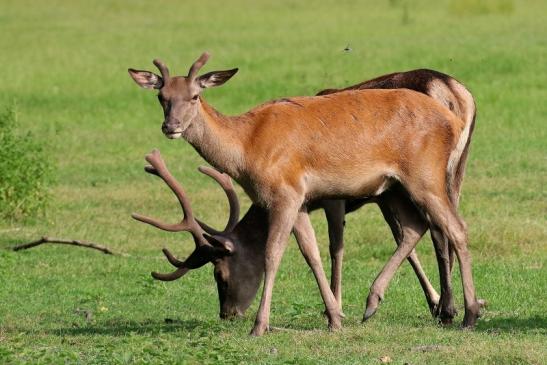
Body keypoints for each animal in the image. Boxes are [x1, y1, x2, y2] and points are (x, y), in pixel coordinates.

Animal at [128, 52, 480, 334]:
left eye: (195, 96)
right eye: (161, 96)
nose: (171, 126)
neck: (247, 146)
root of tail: (452, 115)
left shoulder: (285, 193)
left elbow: (275, 255)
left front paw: (260, 326)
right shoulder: (299, 200)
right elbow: (312, 254)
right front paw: (335, 318)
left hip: (425, 176)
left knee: (455, 229)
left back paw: (468, 313)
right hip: (396, 186)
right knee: (414, 228)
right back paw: (375, 302)